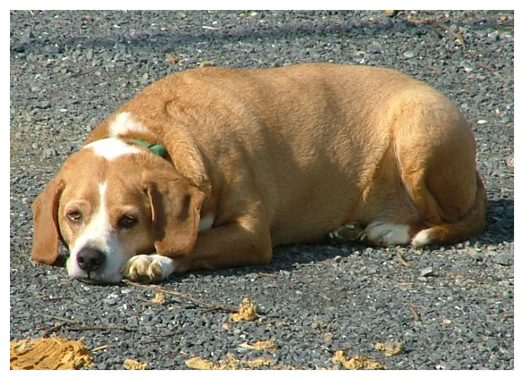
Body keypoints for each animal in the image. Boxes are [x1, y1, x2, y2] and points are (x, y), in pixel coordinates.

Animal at [29, 63, 488, 282]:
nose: (89, 259)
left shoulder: (251, 235)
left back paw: (389, 229)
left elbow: (195, 243)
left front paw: (155, 260)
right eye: (73, 215)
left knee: (439, 217)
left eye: (129, 220)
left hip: (417, 138)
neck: (157, 135)